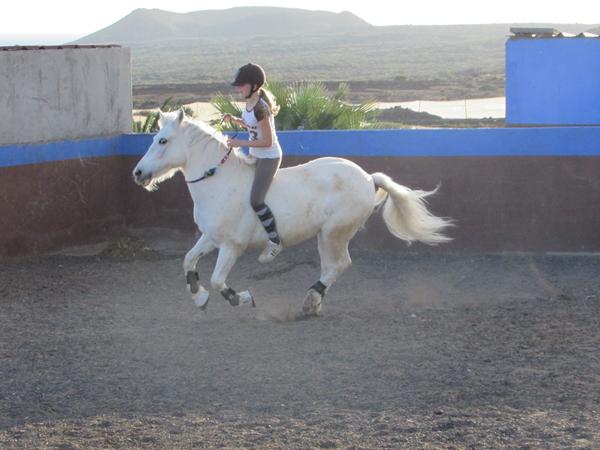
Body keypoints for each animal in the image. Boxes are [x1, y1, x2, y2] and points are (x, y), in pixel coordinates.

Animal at [131, 107, 450, 314]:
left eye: (162, 140)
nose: (138, 174)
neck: (217, 180)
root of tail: (368, 178)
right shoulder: (210, 237)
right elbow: (187, 260)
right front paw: (199, 298)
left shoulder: (232, 246)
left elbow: (218, 280)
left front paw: (241, 298)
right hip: (326, 235)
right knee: (333, 266)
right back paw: (314, 303)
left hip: (334, 233)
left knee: (339, 265)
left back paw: (310, 299)